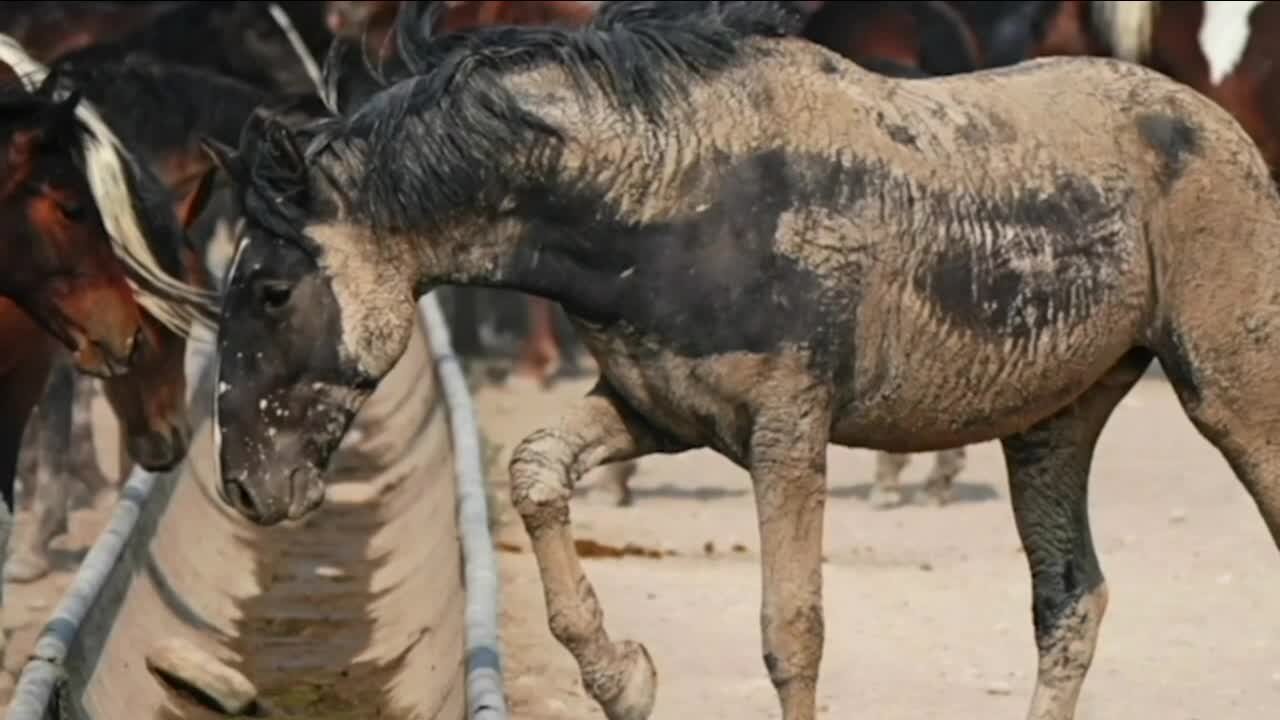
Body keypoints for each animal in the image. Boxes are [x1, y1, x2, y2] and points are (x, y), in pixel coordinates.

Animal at [204, 1, 1280, 717]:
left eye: (269, 292)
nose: (250, 487)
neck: (667, 198)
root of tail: (1226, 135)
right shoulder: (662, 412)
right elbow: (536, 469)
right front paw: (624, 678)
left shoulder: (787, 429)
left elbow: (790, 629)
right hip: (1054, 421)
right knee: (1069, 602)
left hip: (1230, 388)